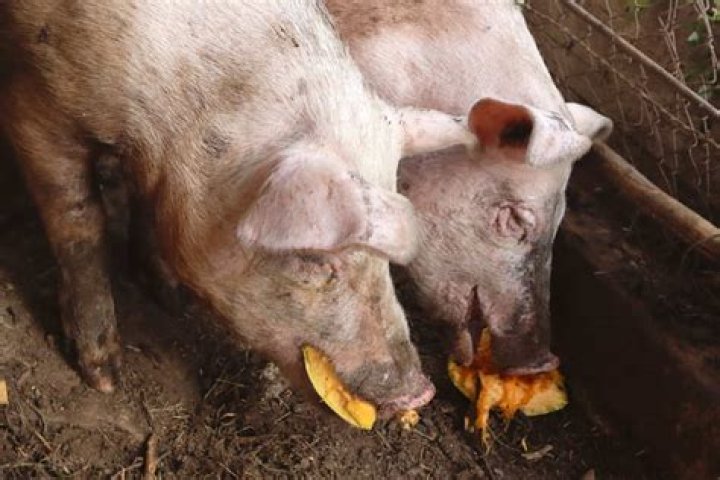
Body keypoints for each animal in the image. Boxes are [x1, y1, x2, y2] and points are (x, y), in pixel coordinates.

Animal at [0, 0, 477, 416]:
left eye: (384, 262)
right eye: (312, 259)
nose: (422, 391)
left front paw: (170, 299)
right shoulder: (37, 102)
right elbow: (80, 227)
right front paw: (104, 379)